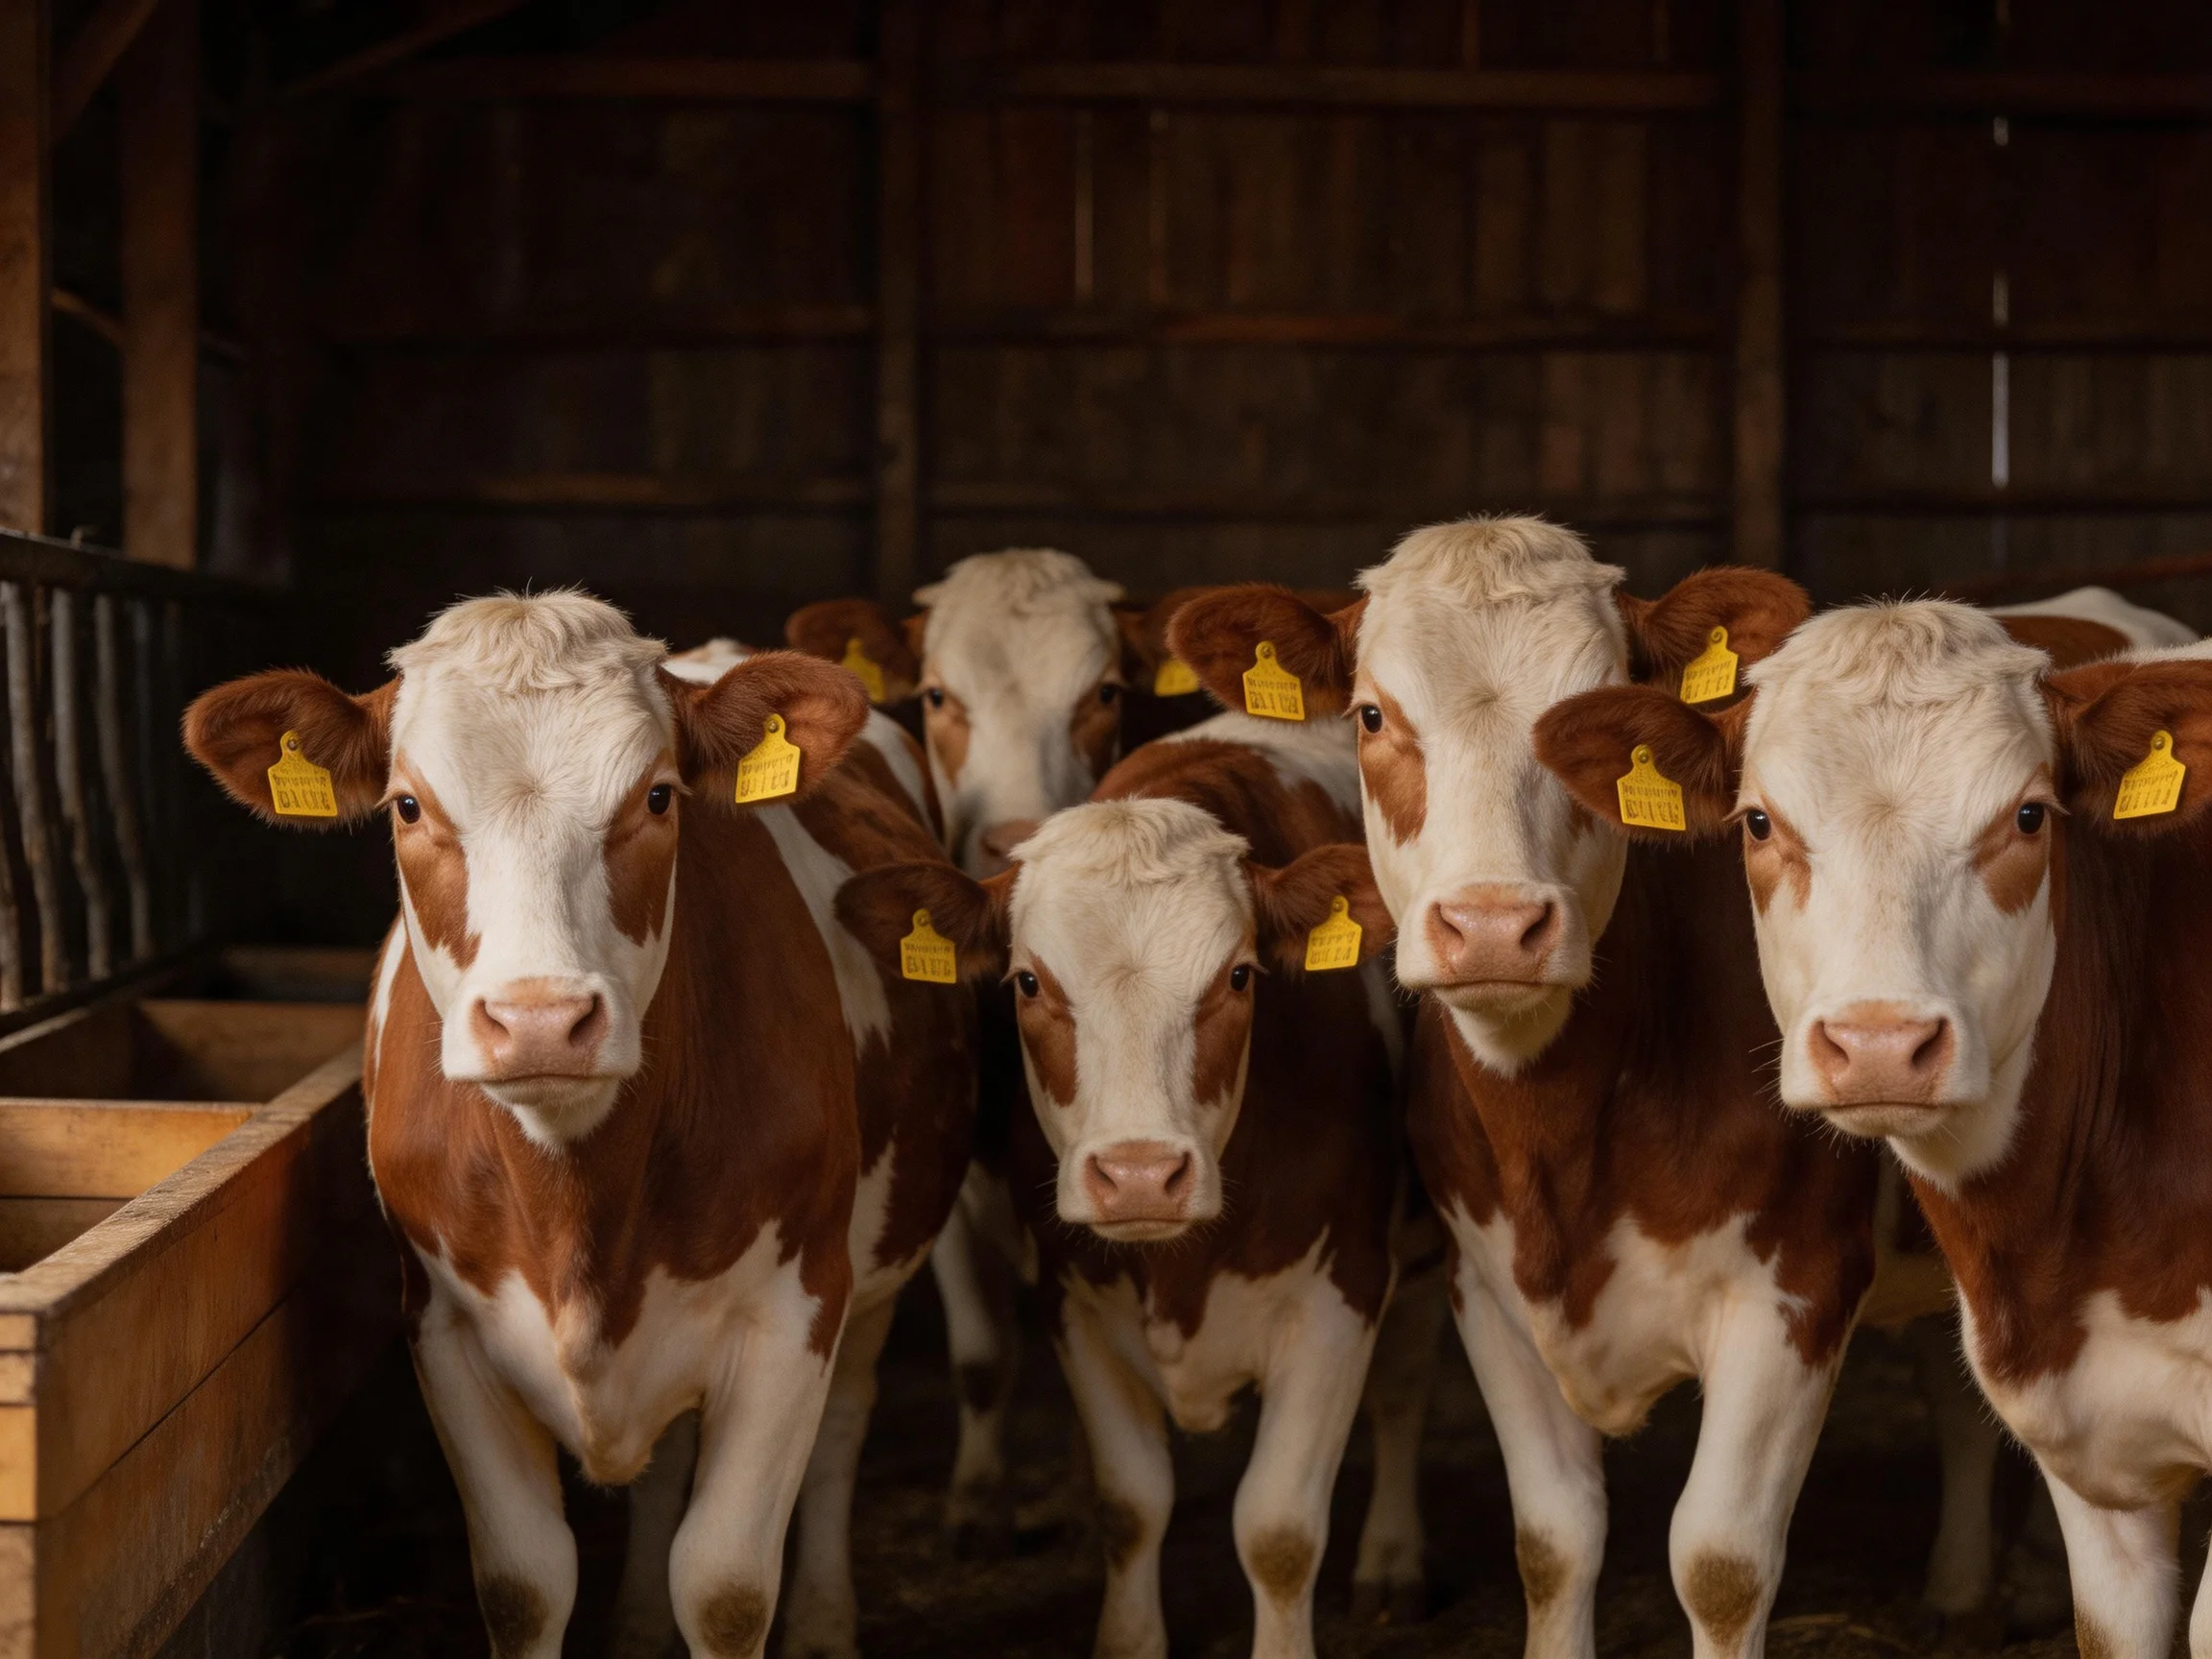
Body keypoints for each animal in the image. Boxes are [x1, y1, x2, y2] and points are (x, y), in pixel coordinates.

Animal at [182, 592, 976, 1659]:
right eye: (408, 805)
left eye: (659, 796)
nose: (539, 1020)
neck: (577, 1196)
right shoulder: (443, 1325)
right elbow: (524, 1583)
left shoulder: (796, 1307)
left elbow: (726, 1585)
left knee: (844, 1424)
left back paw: (822, 1621)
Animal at [836, 699, 1414, 1659]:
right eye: (1028, 982)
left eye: (1240, 974)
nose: (1140, 1175)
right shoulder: (1074, 1295)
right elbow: (1132, 1503)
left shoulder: (1346, 1290)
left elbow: (1279, 1531)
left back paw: (1393, 1562)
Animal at [1172, 518, 1999, 1659]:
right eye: (1374, 715)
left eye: (1586, 720)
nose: (1491, 926)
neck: (1566, 1135)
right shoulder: (1488, 1289)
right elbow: (1554, 1540)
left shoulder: (1796, 1286)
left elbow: (1722, 1562)